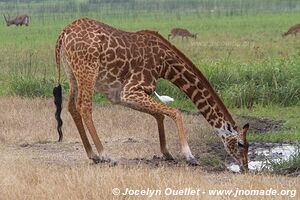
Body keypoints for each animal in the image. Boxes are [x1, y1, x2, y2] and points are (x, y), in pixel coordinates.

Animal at [52, 17, 250, 171]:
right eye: (241, 144)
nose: (245, 167)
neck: (165, 65)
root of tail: (63, 33)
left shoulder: (121, 96)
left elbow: (160, 115)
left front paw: (167, 152)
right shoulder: (130, 91)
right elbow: (175, 112)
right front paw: (189, 156)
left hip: (72, 73)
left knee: (72, 107)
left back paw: (92, 154)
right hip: (87, 70)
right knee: (84, 107)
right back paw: (106, 155)